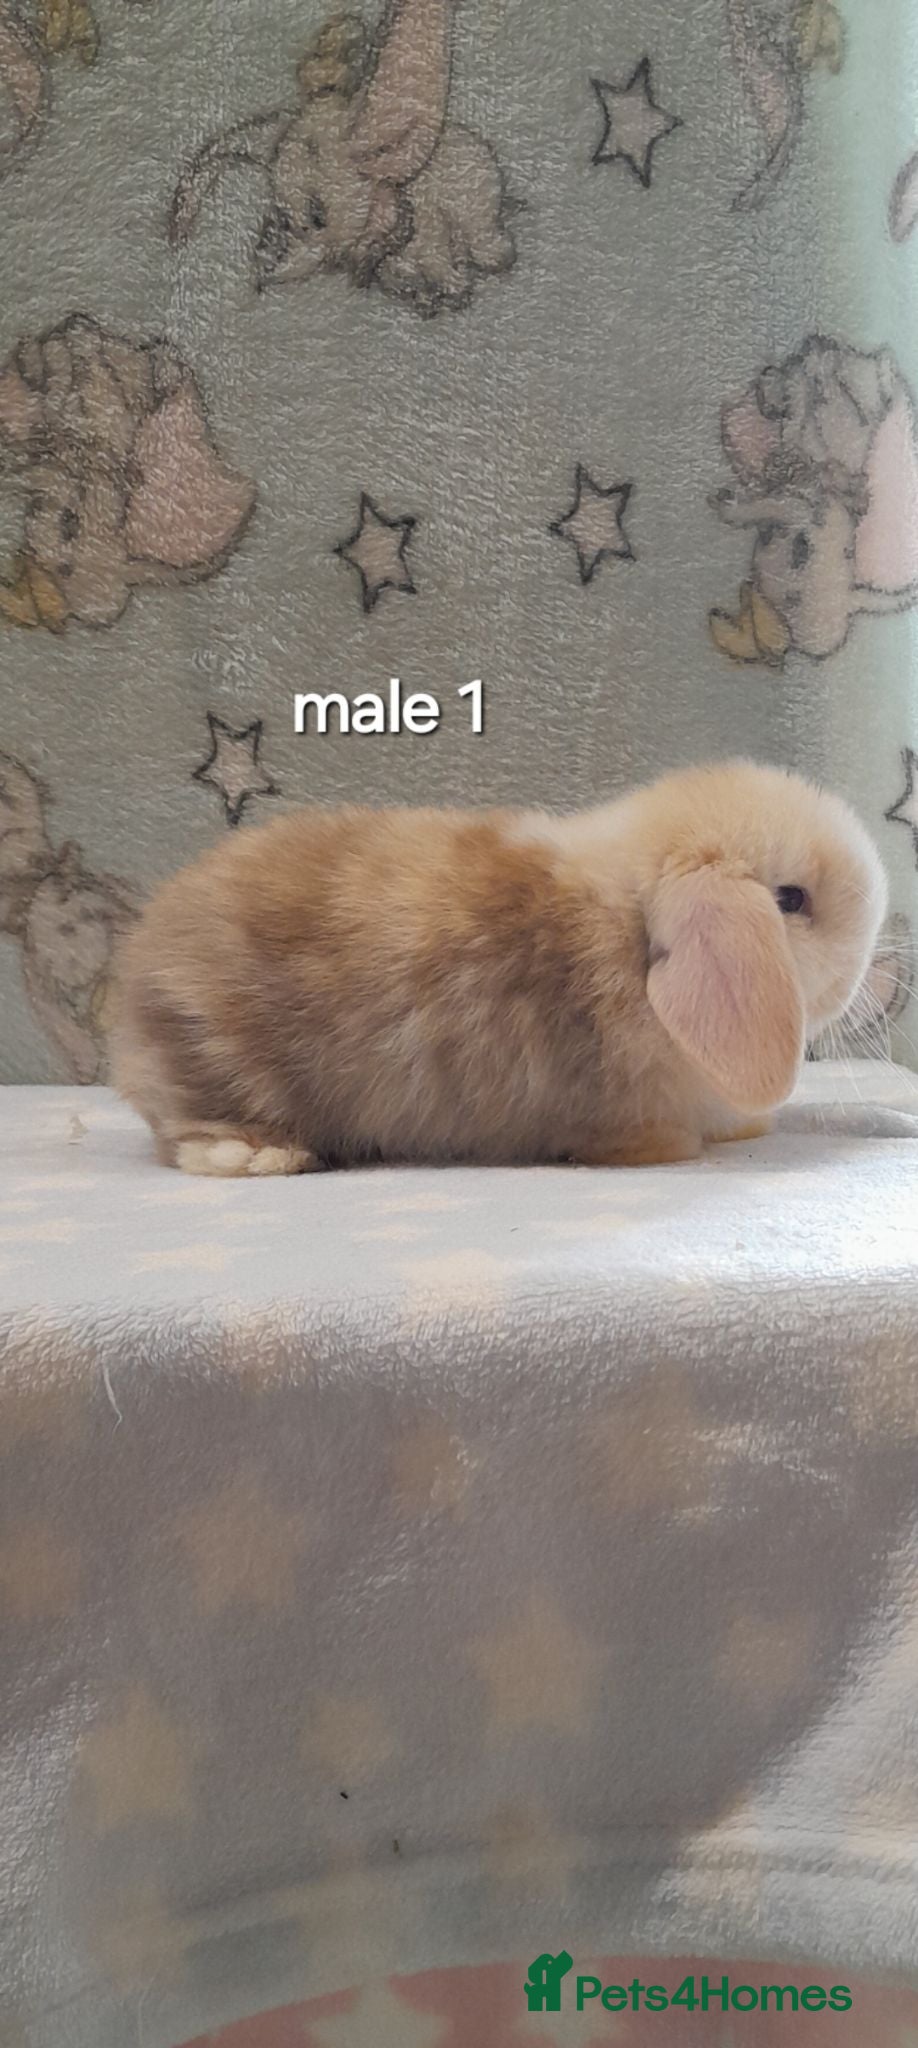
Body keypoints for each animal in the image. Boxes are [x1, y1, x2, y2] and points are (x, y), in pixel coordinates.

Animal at [111, 759, 887, 1176]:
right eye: (791, 900)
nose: (875, 969)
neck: (626, 929)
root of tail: (135, 967)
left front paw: (746, 1130)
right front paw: (677, 1149)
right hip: (215, 1067)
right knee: (190, 1134)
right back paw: (261, 1157)